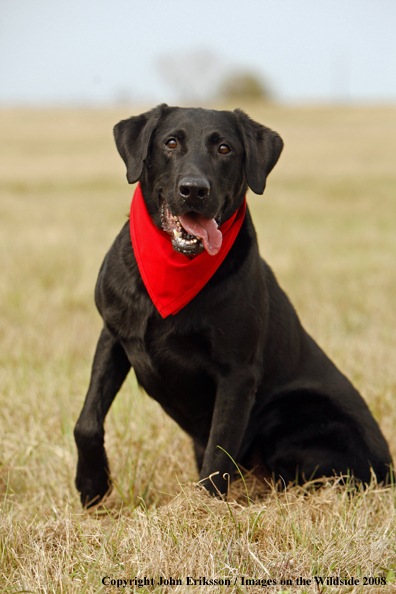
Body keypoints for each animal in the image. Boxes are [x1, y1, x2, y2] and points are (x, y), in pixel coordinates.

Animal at [73, 105, 390, 504]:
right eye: (171, 142)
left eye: (224, 148)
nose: (194, 189)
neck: (174, 270)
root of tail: (389, 470)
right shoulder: (114, 335)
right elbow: (86, 421)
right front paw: (91, 484)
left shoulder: (237, 373)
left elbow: (217, 455)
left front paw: (200, 513)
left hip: (293, 412)